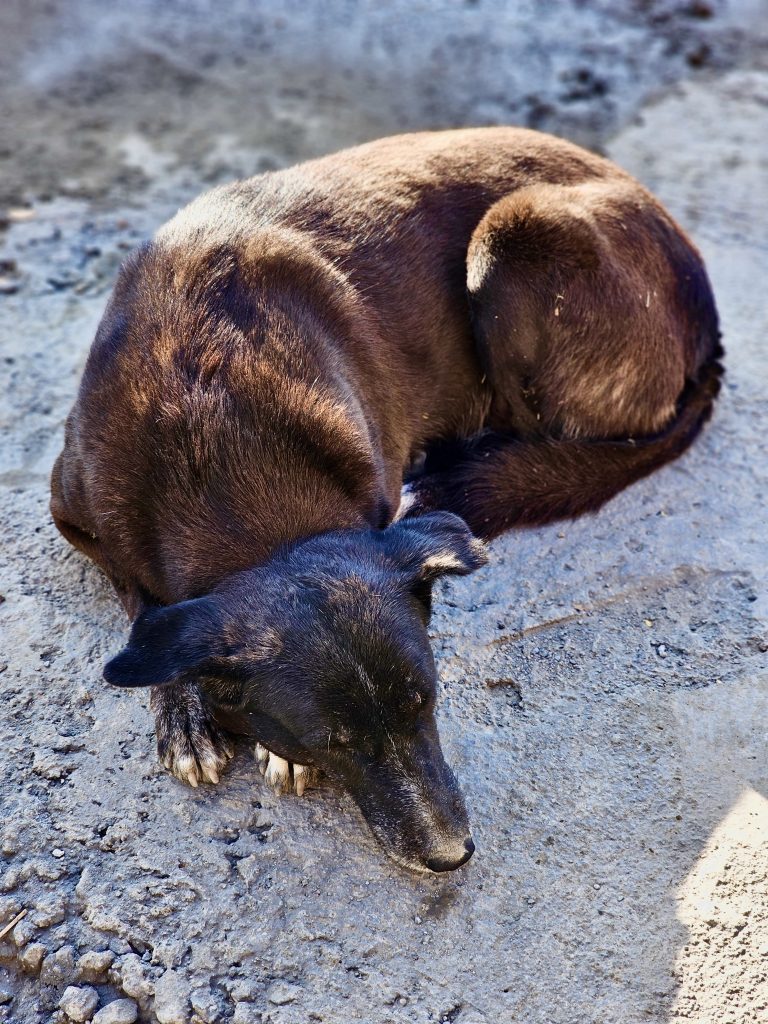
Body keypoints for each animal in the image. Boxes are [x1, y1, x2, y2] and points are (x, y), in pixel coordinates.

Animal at [51, 128, 724, 872]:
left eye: (426, 702)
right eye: (333, 741)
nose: (452, 856)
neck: (215, 435)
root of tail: (705, 315)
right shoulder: (76, 513)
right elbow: (143, 606)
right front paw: (185, 711)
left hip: (516, 234)